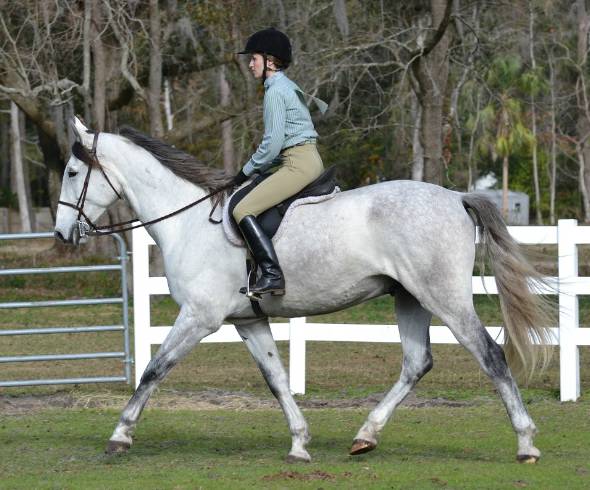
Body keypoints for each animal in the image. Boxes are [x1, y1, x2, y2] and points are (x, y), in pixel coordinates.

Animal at [54, 117, 556, 464]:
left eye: (74, 171)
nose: (62, 235)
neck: (190, 220)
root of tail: (455, 196)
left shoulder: (200, 316)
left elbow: (154, 370)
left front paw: (119, 435)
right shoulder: (247, 320)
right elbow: (276, 379)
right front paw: (299, 444)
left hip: (443, 298)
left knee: (490, 355)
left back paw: (527, 443)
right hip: (409, 297)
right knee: (416, 363)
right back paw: (365, 435)